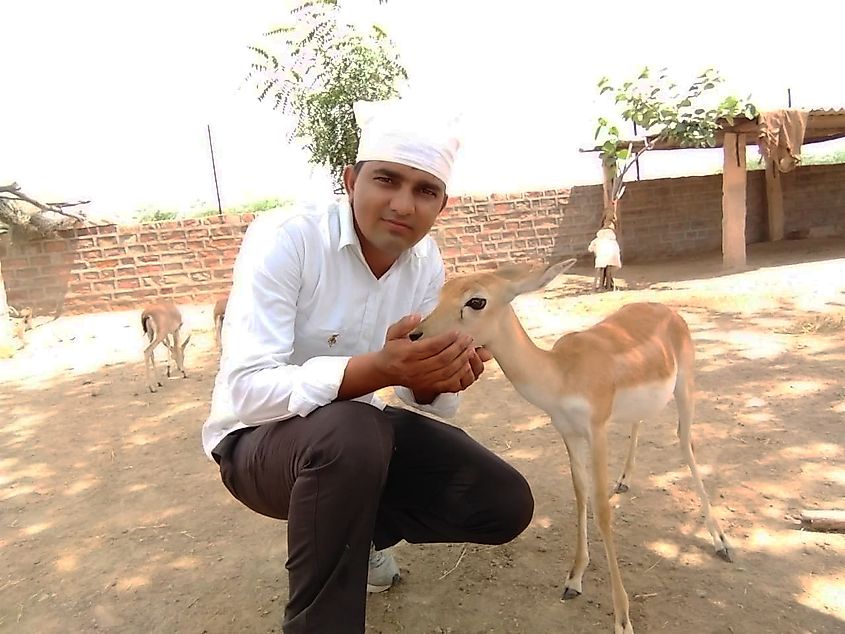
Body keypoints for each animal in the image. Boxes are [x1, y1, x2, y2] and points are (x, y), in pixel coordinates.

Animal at [408, 256, 724, 632]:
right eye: (441, 292)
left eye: (476, 300)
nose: (415, 334)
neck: (561, 374)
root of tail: (669, 311)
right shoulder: (568, 432)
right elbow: (580, 494)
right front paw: (574, 579)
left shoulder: (596, 430)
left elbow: (601, 509)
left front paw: (622, 618)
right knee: (640, 424)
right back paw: (625, 480)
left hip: (685, 387)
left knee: (685, 443)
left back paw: (720, 541)